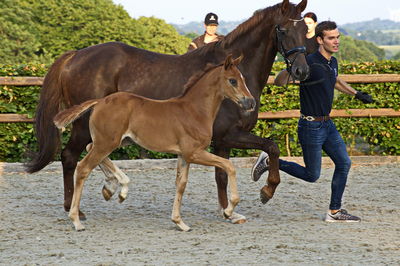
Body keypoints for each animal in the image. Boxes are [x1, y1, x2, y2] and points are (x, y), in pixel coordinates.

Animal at [53, 54, 255, 231]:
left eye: (243, 78)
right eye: (233, 81)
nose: (251, 102)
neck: (194, 110)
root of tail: (100, 101)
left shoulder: (183, 156)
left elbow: (181, 184)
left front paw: (179, 222)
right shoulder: (194, 153)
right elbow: (229, 166)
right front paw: (229, 211)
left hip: (114, 141)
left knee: (90, 150)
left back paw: (117, 188)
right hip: (106, 143)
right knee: (83, 168)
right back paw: (77, 220)